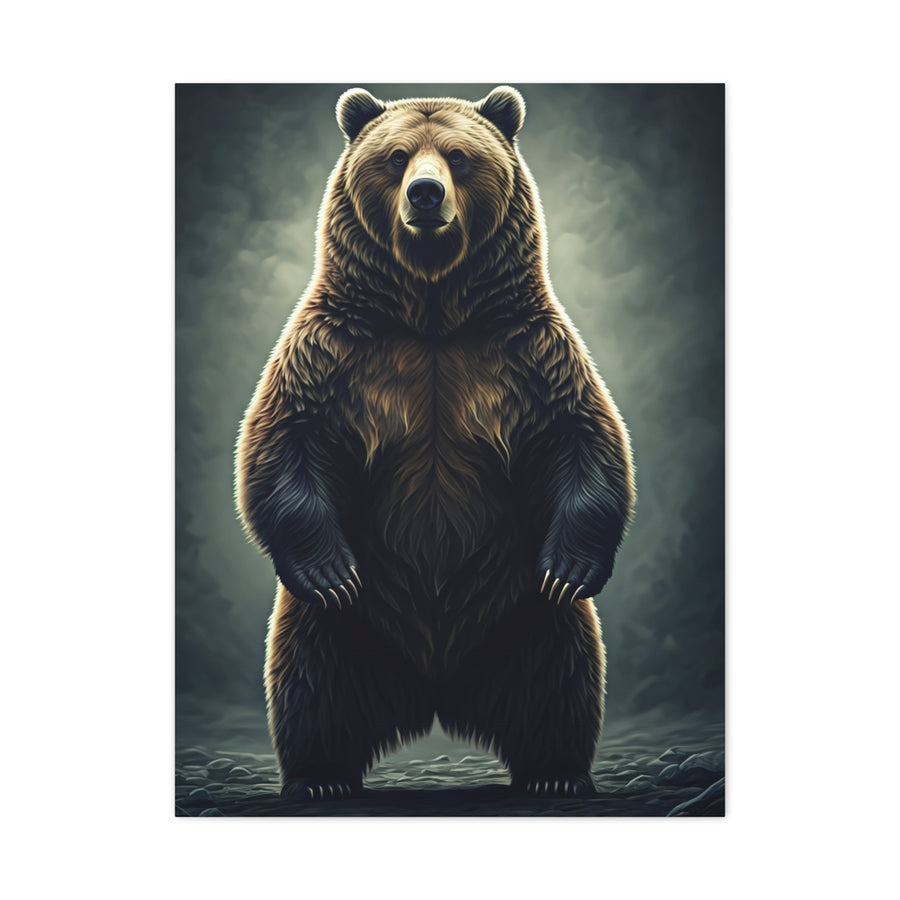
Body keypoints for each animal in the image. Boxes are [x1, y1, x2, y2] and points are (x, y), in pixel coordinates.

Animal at [235, 86, 635, 801]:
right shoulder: (335, 350)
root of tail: (437, 696)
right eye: (396, 157)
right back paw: (320, 777)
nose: (425, 194)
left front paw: (572, 565)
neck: (432, 311)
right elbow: (285, 441)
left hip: (522, 613)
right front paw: (330, 571)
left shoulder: (526, 350)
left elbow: (582, 436)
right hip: (345, 631)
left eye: (458, 155)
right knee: (312, 680)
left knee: (560, 675)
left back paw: (555, 773)